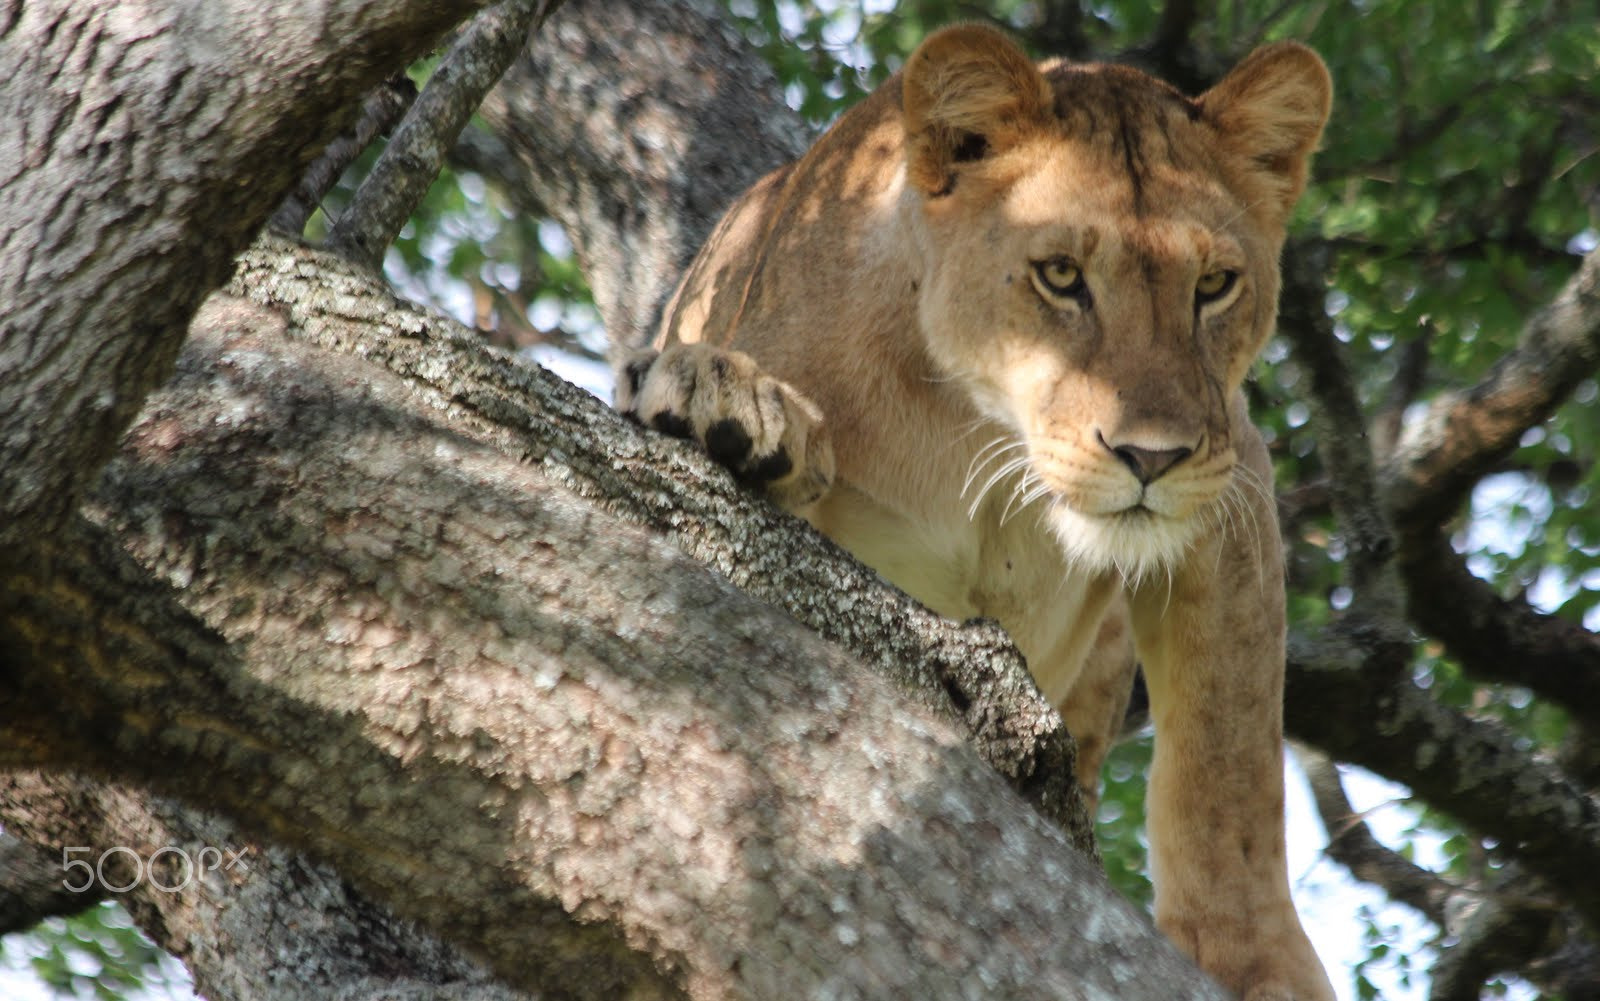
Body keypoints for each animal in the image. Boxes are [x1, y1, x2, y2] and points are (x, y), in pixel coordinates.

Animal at [617, 23, 1334, 1000]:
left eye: (1216, 285)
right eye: (1061, 275)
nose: (1153, 458)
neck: (987, 438)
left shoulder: (1232, 485)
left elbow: (1231, 772)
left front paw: (1256, 966)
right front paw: (730, 409)